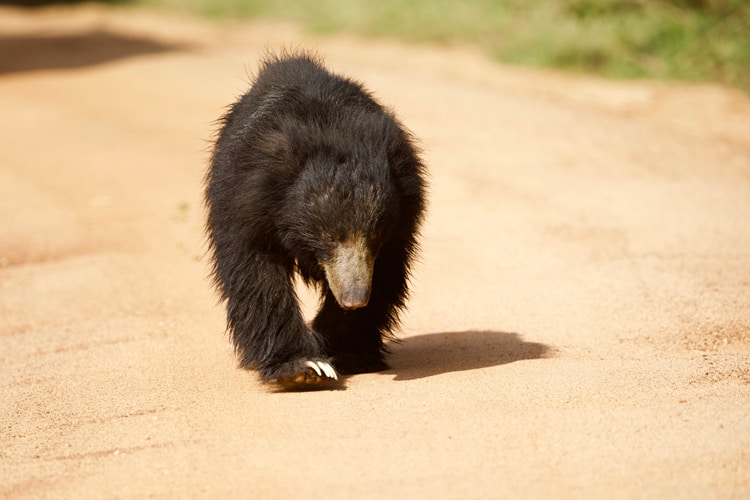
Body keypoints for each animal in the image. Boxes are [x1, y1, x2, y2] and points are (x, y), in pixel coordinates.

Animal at [206, 52, 428, 388]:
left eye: (374, 237)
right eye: (329, 237)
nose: (354, 298)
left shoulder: (401, 225)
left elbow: (385, 276)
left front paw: (344, 349)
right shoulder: (247, 199)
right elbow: (256, 272)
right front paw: (304, 368)